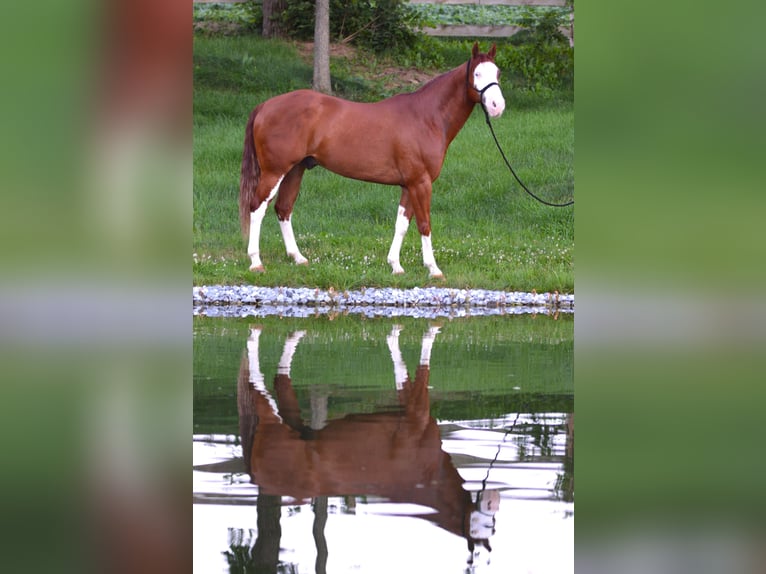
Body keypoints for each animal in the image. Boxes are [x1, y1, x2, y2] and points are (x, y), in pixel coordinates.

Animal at [237, 325, 500, 566]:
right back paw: (254, 335)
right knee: (258, 384)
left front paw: (395, 332)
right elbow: (424, 358)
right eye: (487, 523)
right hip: (274, 424)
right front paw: (430, 328)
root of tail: (258, 477)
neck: (430, 477)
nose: (494, 499)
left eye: (494, 525)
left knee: (280, 378)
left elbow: (399, 368)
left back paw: (294, 335)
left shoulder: (408, 405)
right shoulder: (417, 411)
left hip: (297, 426)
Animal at [239, 42, 506, 279]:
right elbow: (424, 224)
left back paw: (298, 258)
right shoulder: (421, 183)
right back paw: (256, 262)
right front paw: (434, 269)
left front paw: (395, 266)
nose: (497, 106)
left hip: (295, 170)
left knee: (283, 209)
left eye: (498, 73)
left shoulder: (409, 184)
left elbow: (402, 224)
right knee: (257, 208)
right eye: (477, 73)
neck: (426, 117)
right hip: (274, 172)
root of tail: (265, 106)